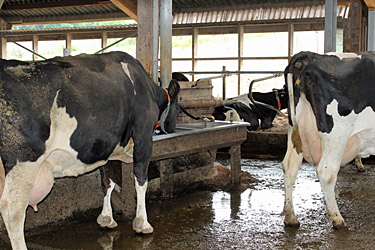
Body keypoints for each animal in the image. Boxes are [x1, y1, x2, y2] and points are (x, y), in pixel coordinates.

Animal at [0, 51, 181, 250]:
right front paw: (142, 223)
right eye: (179, 108)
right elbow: (140, 179)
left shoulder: (105, 145)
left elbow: (107, 181)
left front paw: (106, 218)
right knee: (13, 211)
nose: (173, 128)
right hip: (24, 161)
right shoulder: (143, 135)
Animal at [284, 50, 375, 229]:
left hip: (295, 132)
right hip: (336, 134)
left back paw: (291, 217)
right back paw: (337, 218)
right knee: (326, 172)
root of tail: (310, 57)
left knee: (289, 167)